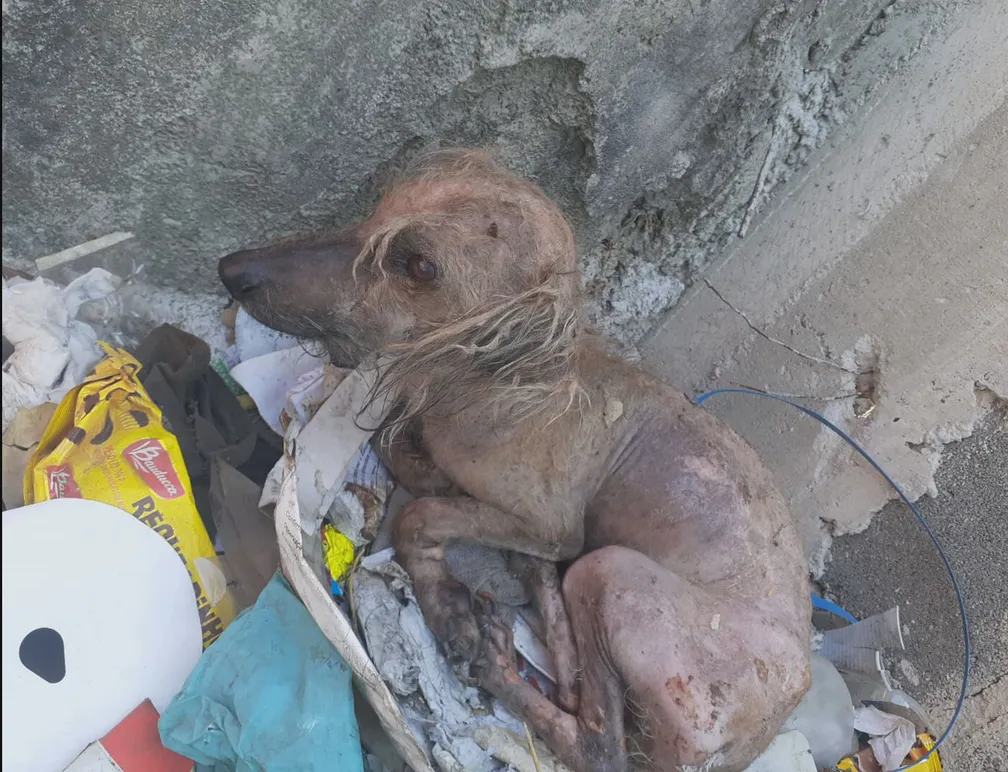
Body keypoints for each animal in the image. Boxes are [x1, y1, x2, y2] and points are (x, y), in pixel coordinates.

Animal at [218, 148, 810, 769]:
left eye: (421, 267)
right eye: (378, 209)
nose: (233, 271)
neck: (500, 378)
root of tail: (756, 738)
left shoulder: (553, 526)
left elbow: (417, 513)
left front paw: (445, 607)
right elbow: (401, 454)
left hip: (610, 574)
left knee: (598, 746)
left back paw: (493, 661)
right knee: (571, 680)